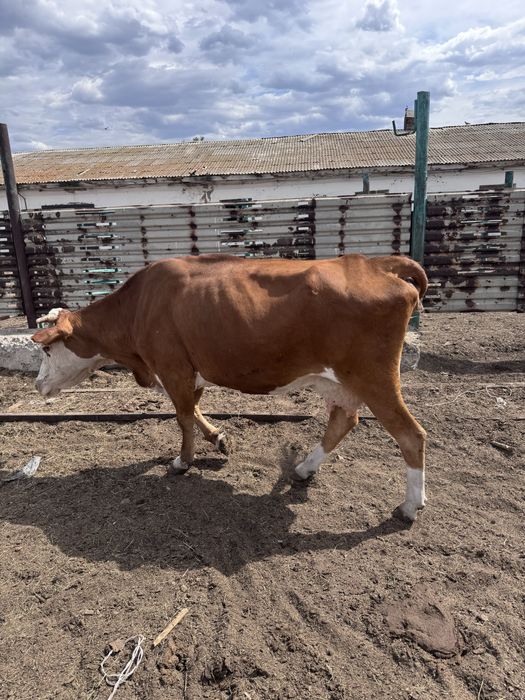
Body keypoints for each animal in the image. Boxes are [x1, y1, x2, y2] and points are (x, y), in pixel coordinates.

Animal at [31, 253, 428, 521]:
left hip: (373, 376)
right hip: (339, 380)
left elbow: (182, 416)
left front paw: (183, 461)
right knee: (344, 420)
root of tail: (377, 263)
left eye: (47, 349)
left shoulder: (172, 367)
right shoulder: (190, 369)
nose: (37, 384)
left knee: (411, 435)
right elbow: (193, 409)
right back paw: (304, 468)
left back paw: (409, 505)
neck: (138, 307)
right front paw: (219, 438)